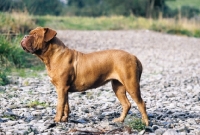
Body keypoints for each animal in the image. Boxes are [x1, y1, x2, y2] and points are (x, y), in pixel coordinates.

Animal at [20, 26, 148, 126]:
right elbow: (66, 105)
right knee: (127, 104)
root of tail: (134, 57)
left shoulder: (61, 88)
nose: (25, 36)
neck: (52, 56)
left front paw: (56, 120)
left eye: (35, 35)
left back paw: (145, 122)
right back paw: (120, 120)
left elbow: (59, 106)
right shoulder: (64, 89)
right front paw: (65, 119)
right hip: (118, 87)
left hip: (131, 85)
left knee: (141, 103)